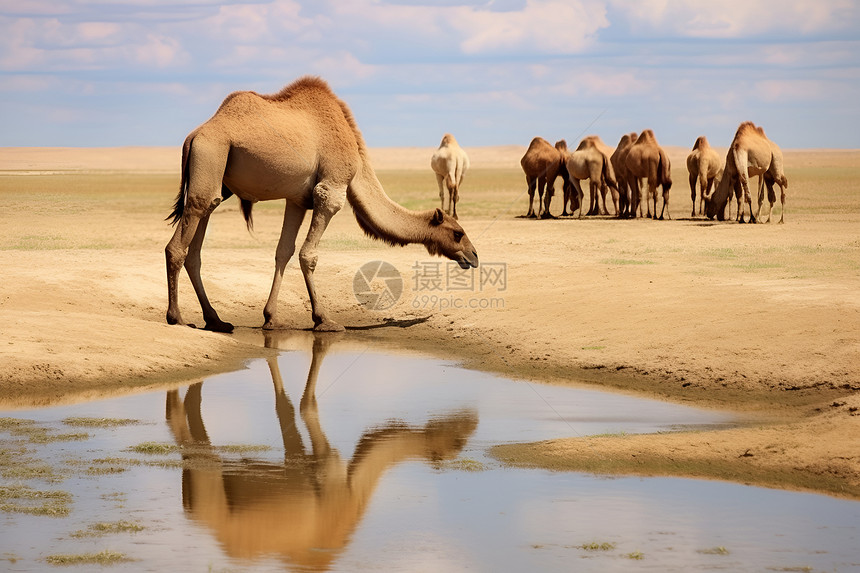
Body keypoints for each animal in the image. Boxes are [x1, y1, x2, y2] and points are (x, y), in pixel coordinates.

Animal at [165, 78, 480, 332]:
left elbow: (284, 251)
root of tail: (193, 137)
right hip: (211, 154)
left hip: (216, 180)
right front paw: (323, 320)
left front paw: (271, 318)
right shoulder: (331, 189)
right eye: (458, 233)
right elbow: (308, 254)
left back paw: (216, 320)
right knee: (178, 244)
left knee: (199, 237)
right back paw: (177, 317)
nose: (474, 256)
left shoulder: (296, 199)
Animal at [167, 332, 478, 568]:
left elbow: (287, 412)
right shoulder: (327, 469)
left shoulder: (301, 463)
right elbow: (307, 407)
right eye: (456, 443)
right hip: (209, 482)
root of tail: (191, 507)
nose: (473, 420)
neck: (353, 495)